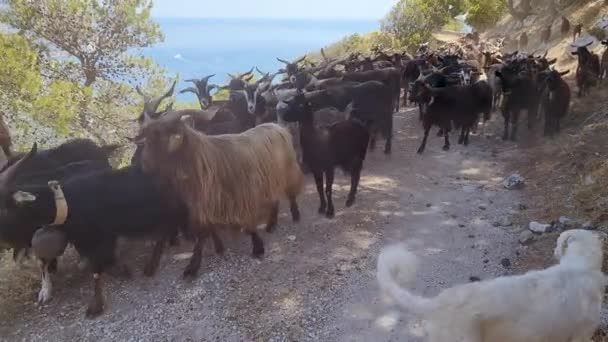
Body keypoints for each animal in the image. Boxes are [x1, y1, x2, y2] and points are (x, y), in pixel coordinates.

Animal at [138, 113, 304, 276]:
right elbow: (205, 231)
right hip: (271, 180)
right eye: (147, 136)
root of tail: (276, 125)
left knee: (290, 194)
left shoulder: (240, 197)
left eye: (161, 135)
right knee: (275, 199)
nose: (144, 164)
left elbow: (246, 223)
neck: (200, 160)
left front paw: (257, 247)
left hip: (288, 171)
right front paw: (206, 256)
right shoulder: (208, 203)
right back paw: (271, 224)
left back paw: (295, 215)